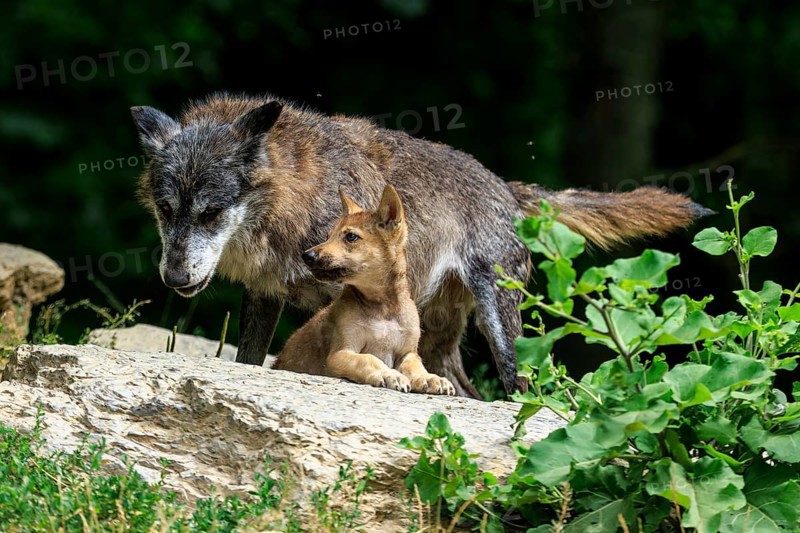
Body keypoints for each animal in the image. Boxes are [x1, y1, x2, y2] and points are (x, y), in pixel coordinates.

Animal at [274, 184, 456, 395]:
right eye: (328, 236)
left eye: (351, 237)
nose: (307, 256)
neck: (382, 308)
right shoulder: (341, 353)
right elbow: (369, 359)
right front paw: (388, 374)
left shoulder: (408, 352)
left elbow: (415, 366)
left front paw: (430, 378)